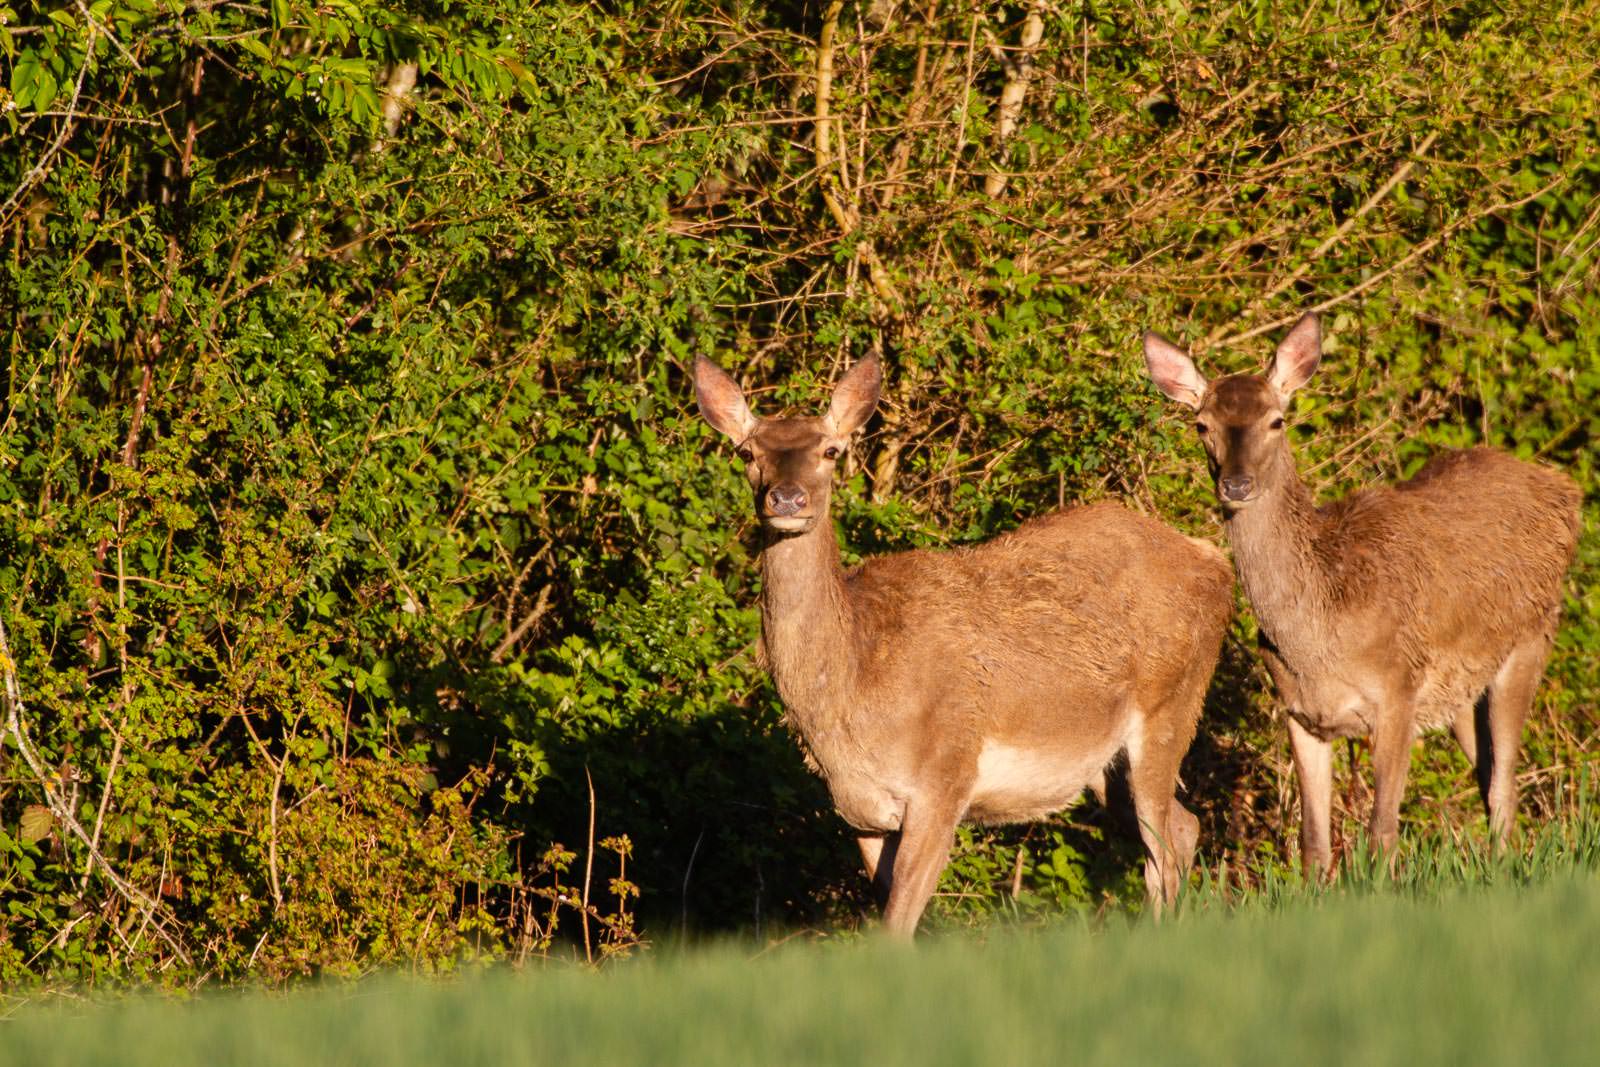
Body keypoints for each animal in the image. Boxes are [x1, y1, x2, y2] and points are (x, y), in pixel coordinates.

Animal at [693, 352, 1234, 936]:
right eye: (747, 452)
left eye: (831, 451)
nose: (787, 498)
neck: (852, 692)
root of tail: (1216, 563)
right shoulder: (860, 812)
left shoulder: (945, 778)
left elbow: (897, 925)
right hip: (1104, 766)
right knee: (1181, 827)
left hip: (1171, 706)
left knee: (1165, 842)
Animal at [1143, 312, 1582, 873]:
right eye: (1202, 424)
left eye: (1276, 420)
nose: (1236, 485)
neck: (1319, 636)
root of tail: (1565, 491)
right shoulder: (1301, 712)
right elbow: (1312, 844)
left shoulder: (1397, 690)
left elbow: (1382, 833)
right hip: (1461, 689)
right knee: (1488, 780)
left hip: (1529, 637)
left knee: (1504, 787)